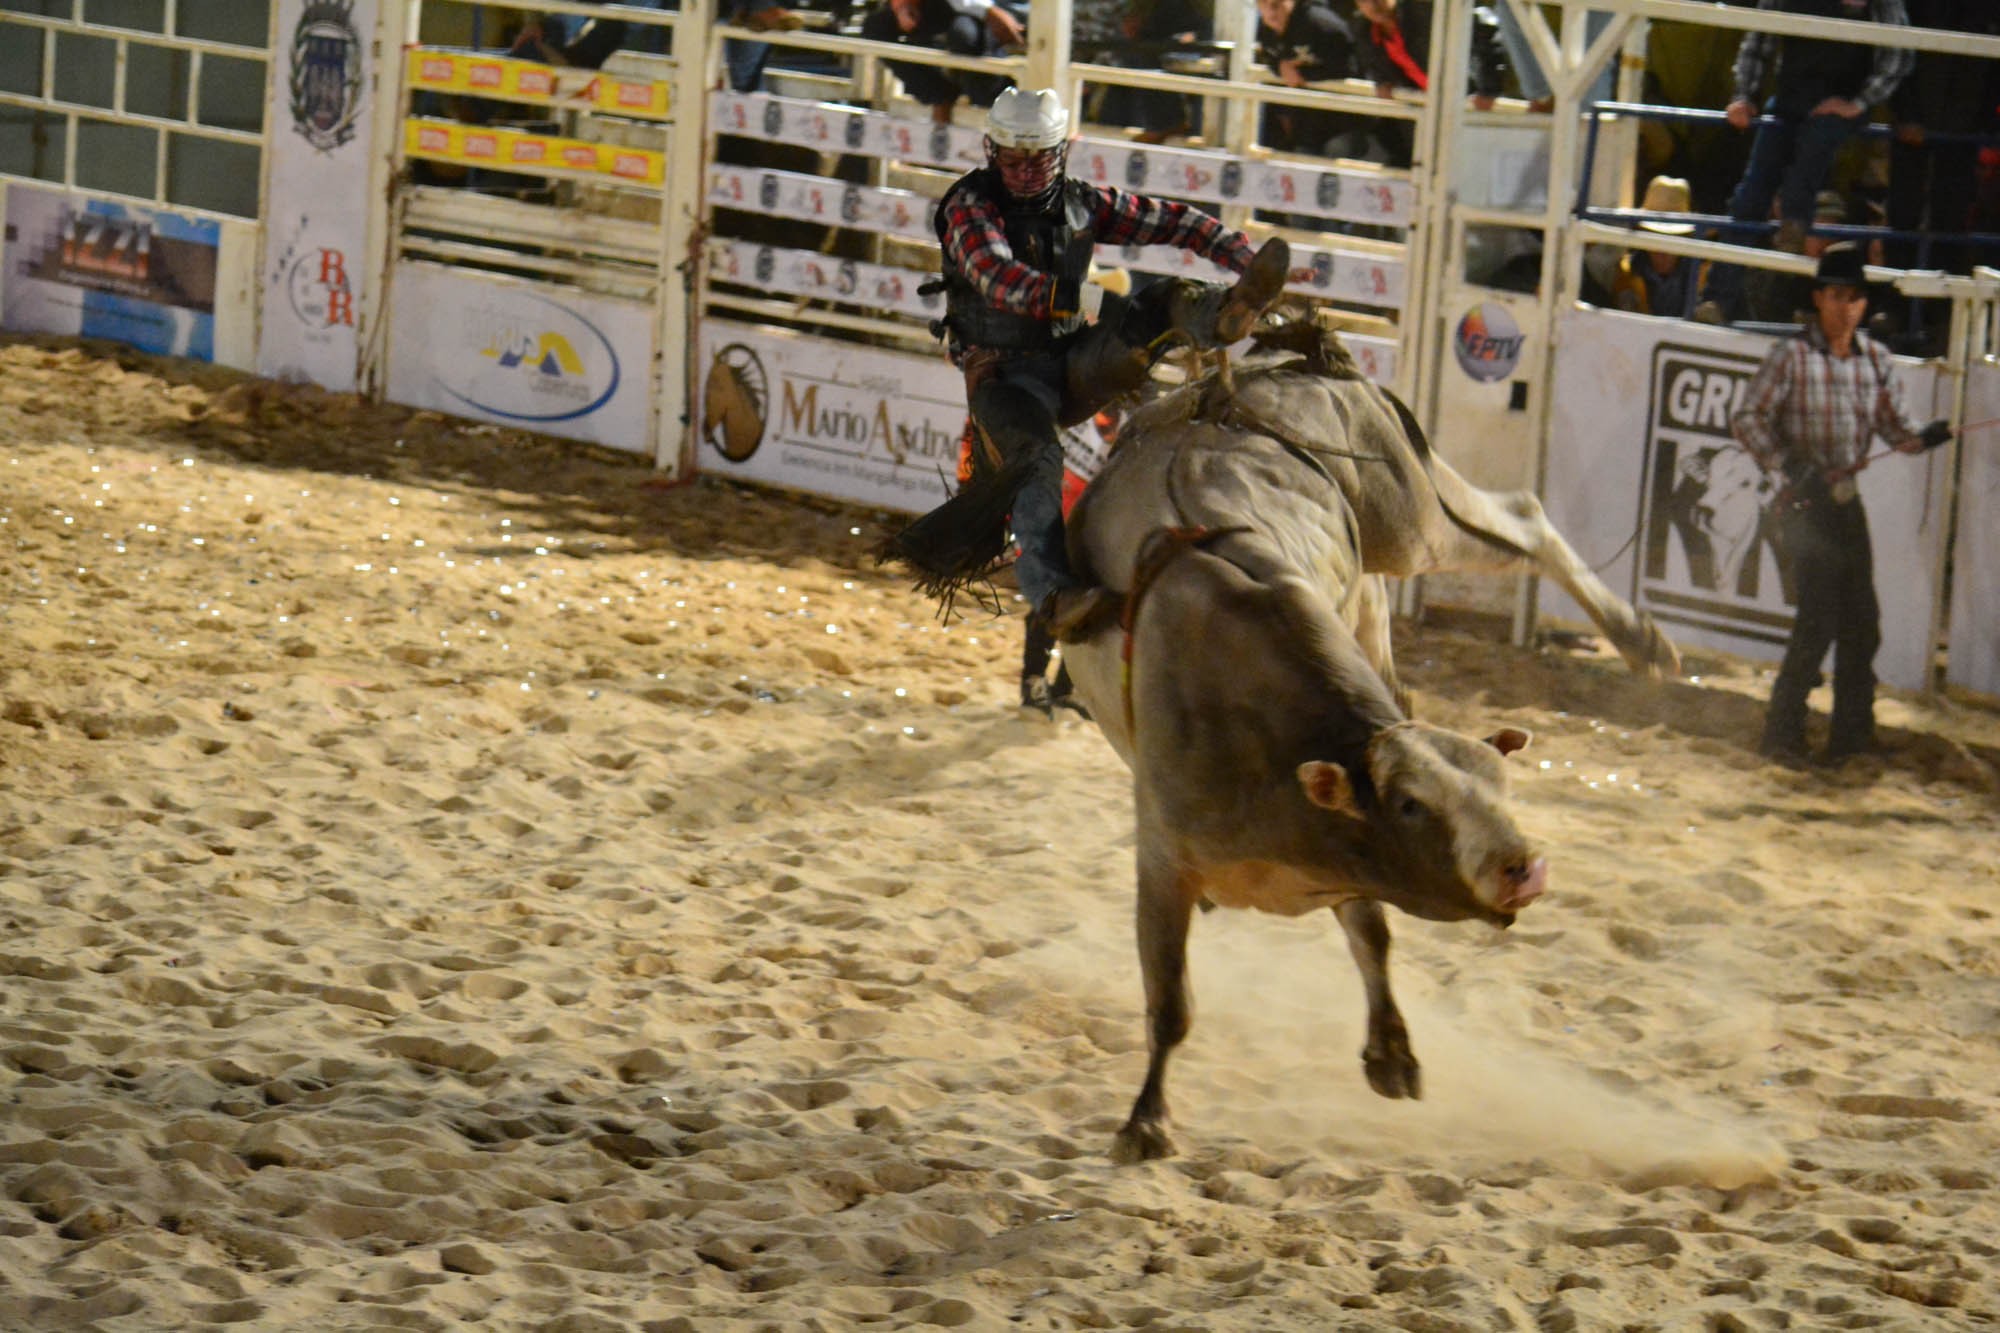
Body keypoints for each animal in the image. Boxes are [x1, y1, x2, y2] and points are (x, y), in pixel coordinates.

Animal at [952, 316, 1672, 1160]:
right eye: (1410, 805)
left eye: (1502, 787)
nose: (1522, 866)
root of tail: (1270, 362)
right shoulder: (1163, 861)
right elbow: (1172, 1002)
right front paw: (1146, 1121)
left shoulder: (1340, 860)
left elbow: (1371, 935)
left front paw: (1391, 1051)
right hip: (1402, 519)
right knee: (1514, 514)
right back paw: (1644, 639)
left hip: (1401, 503)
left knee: (1519, 516)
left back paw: (1643, 640)